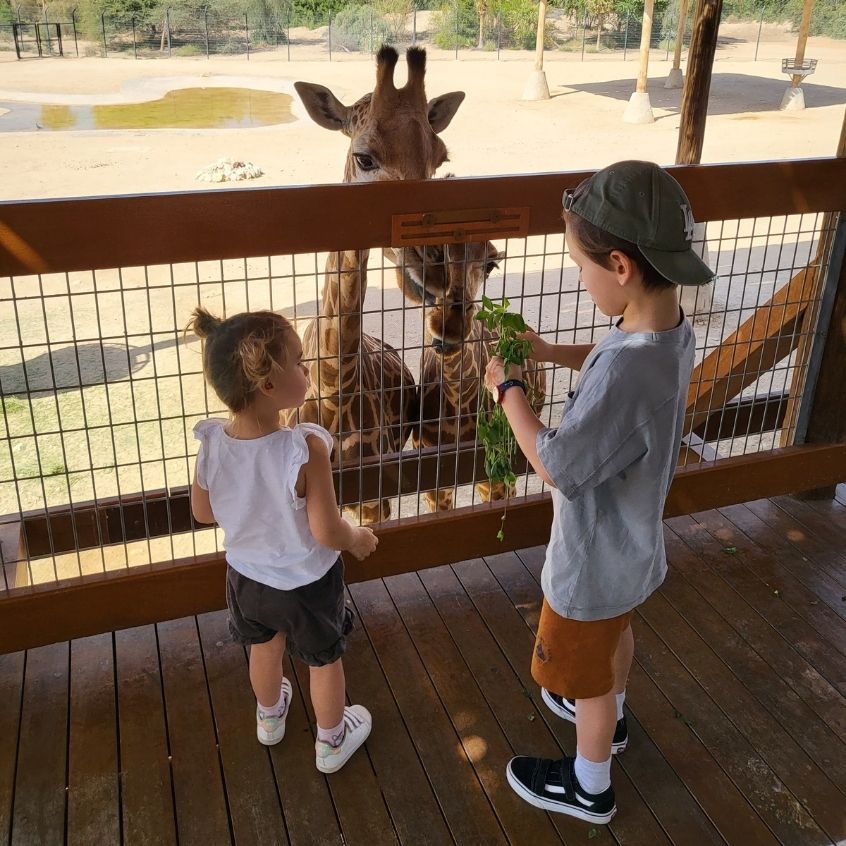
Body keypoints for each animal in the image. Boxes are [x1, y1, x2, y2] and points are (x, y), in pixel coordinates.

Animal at [390, 242, 548, 512]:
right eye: (431, 253)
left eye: (490, 265)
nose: (450, 325)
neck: (458, 399)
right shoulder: (432, 479)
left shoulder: (490, 469)